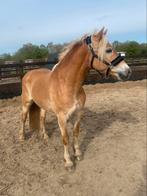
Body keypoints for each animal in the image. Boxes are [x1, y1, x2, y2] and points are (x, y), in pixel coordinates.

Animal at [19, 28, 131, 170]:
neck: (68, 84)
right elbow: (65, 138)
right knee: (23, 118)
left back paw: (45, 136)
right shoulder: (61, 117)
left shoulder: (78, 114)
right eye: (108, 50)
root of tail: (28, 73)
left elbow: (76, 133)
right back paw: (22, 137)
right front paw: (68, 162)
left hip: (43, 106)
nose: (128, 71)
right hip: (26, 103)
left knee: (42, 119)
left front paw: (77, 154)